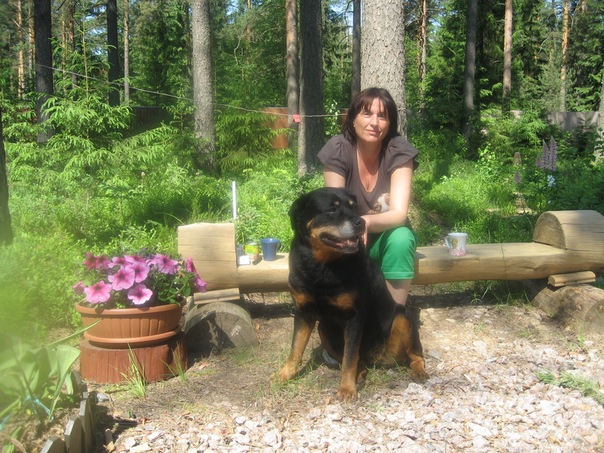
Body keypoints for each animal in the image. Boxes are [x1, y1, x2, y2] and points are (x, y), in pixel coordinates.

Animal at [276, 187, 428, 401]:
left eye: (353, 207)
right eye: (332, 209)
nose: (361, 222)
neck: (323, 267)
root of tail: (377, 357)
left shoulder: (354, 317)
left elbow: (349, 358)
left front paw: (347, 389)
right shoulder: (303, 312)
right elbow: (296, 348)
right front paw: (285, 373)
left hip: (402, 316)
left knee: (415, 355)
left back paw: (419, 371)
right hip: (324, 329)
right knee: (359, 360)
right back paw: (361, 373)